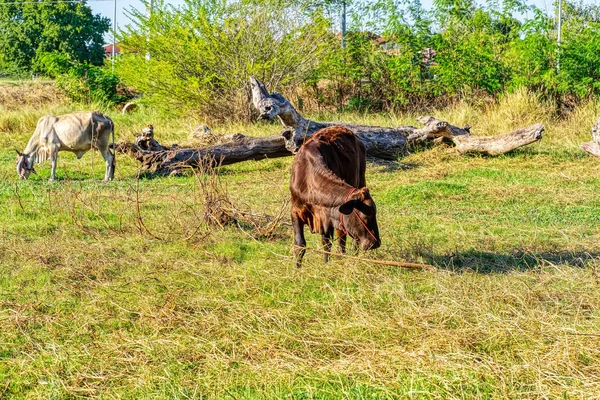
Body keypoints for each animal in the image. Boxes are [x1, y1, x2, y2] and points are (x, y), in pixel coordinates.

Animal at [290, 126, 380, 268]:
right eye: (366, 216)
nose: (376, 243)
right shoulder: (295, 211)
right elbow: (300, 244)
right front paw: (297, 268)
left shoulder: (330, 218)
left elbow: (331, 243)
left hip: (361, 180)